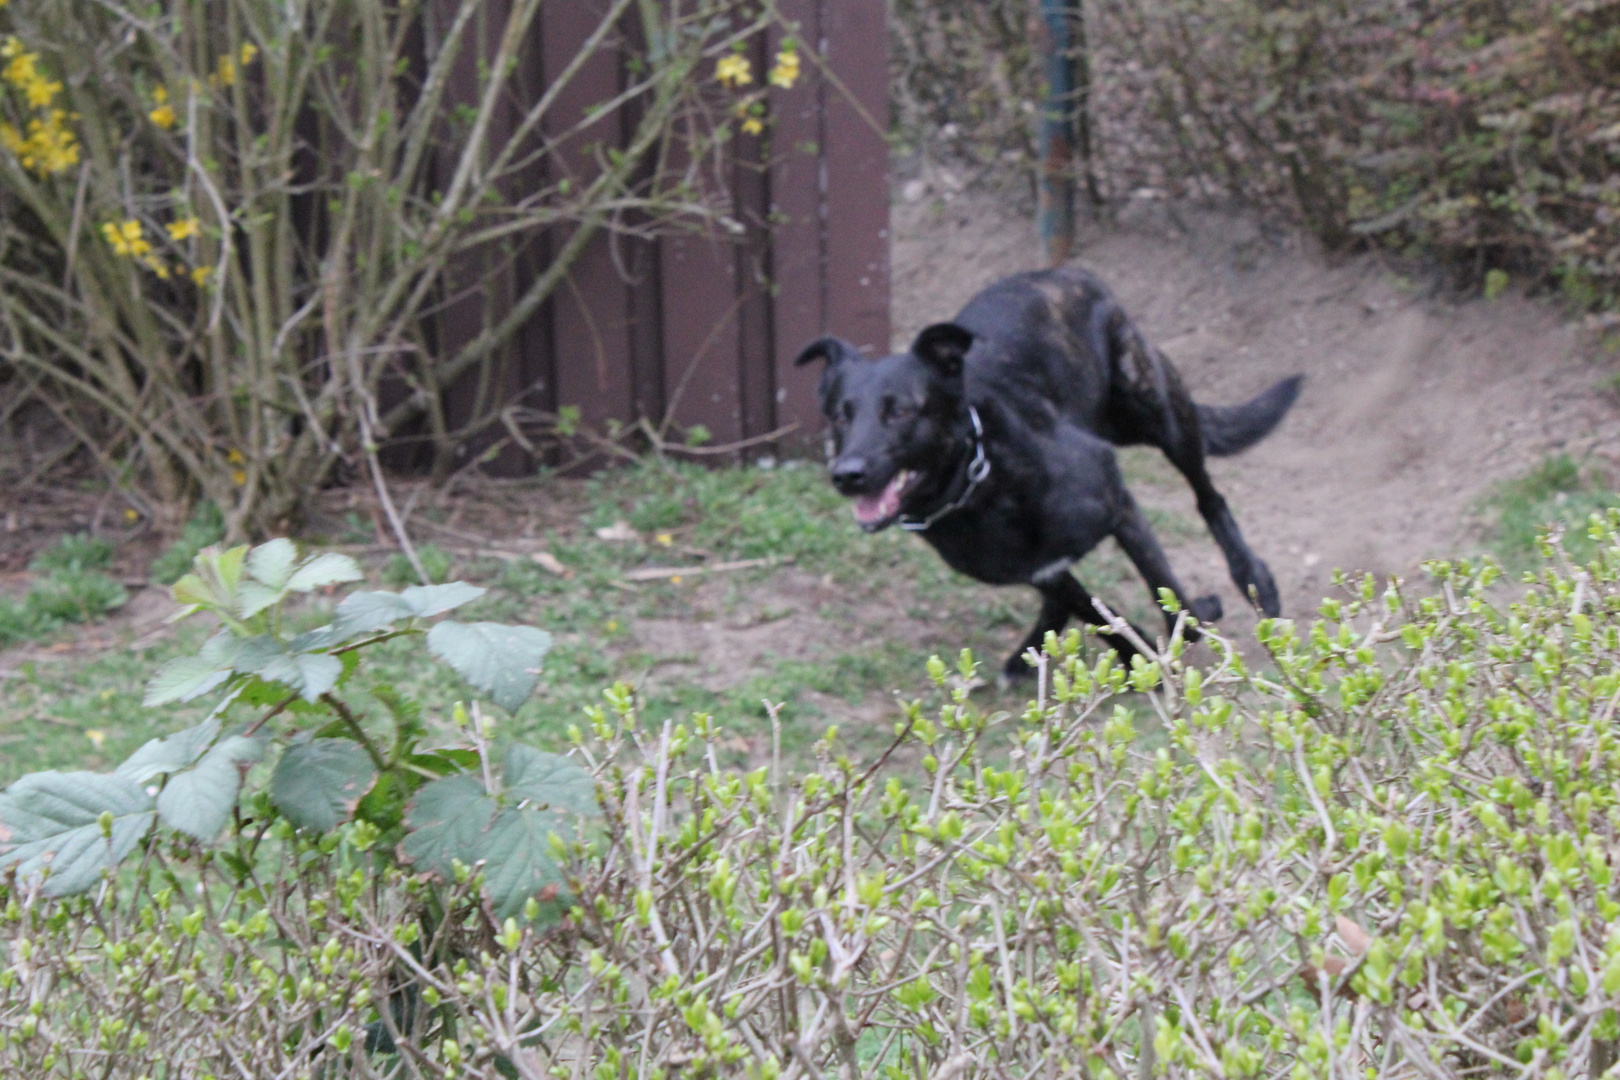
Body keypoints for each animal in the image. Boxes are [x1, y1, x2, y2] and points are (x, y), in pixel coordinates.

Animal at [797, 262, 1302, 680]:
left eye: (900, 411)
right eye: (840, 416)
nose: (846, 474)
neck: (982, 484)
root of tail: (1065, 270)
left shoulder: (1118, 503)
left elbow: (1162, 586)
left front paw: (1182, 631)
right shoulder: (1035, 567)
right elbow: (1093, 609)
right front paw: (1136, 653)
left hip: (1158, 414)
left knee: (1208, 495)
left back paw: (1253, 576)